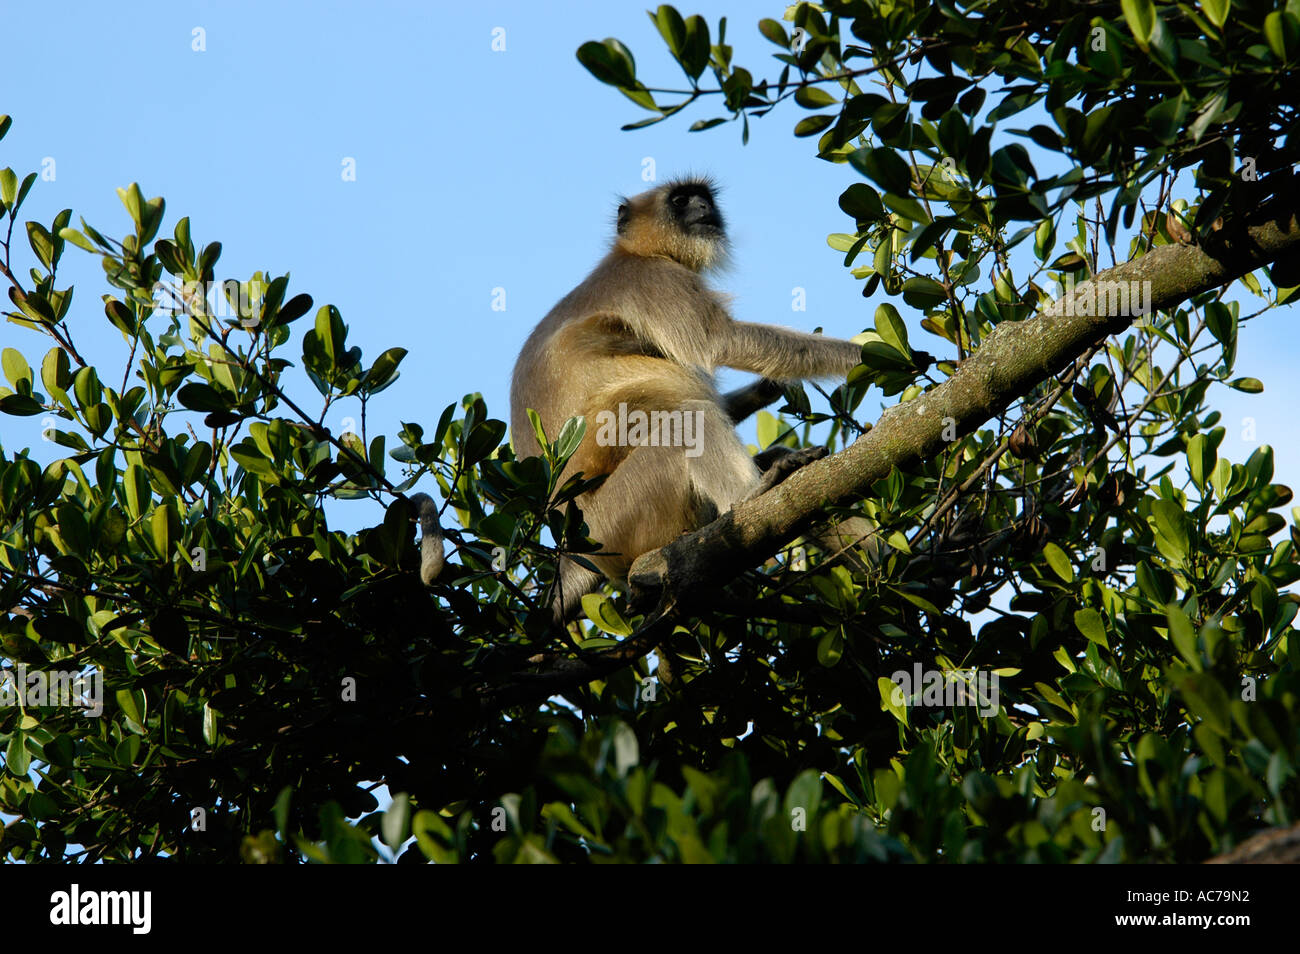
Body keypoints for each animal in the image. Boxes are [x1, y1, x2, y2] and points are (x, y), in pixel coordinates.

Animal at [504, 178, 863, 629]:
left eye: (703, 198)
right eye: (680, 200)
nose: (704, 208)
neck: (635, 253)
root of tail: (573, 548)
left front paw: (767, 389)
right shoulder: (653, 280)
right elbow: (723, 342)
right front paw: (868, 356)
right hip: (617, 520)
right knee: (688, 419)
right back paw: (753, 494)